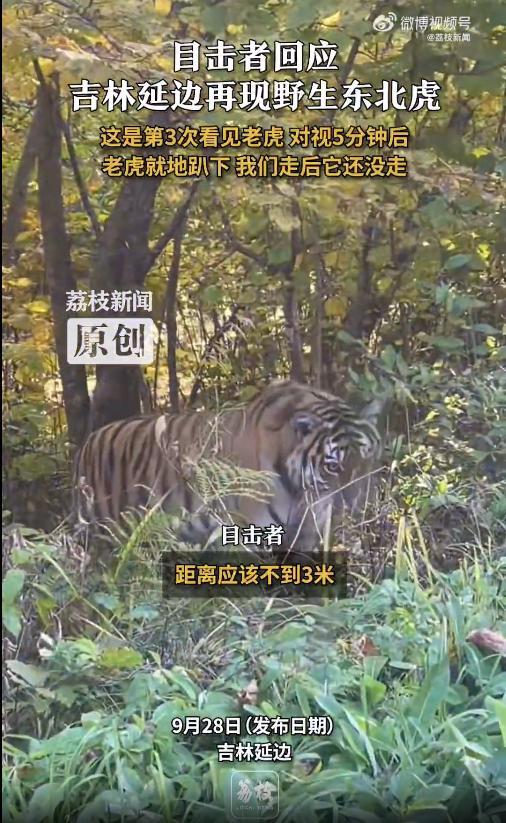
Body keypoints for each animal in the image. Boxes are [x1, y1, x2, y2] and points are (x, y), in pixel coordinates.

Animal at [74, 381, 385, 554]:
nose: (361, 506)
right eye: (333, 467)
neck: (300, 489)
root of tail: (89, 440)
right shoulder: (249, 533)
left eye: (368, 459)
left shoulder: (307, 533)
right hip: (109, 534)